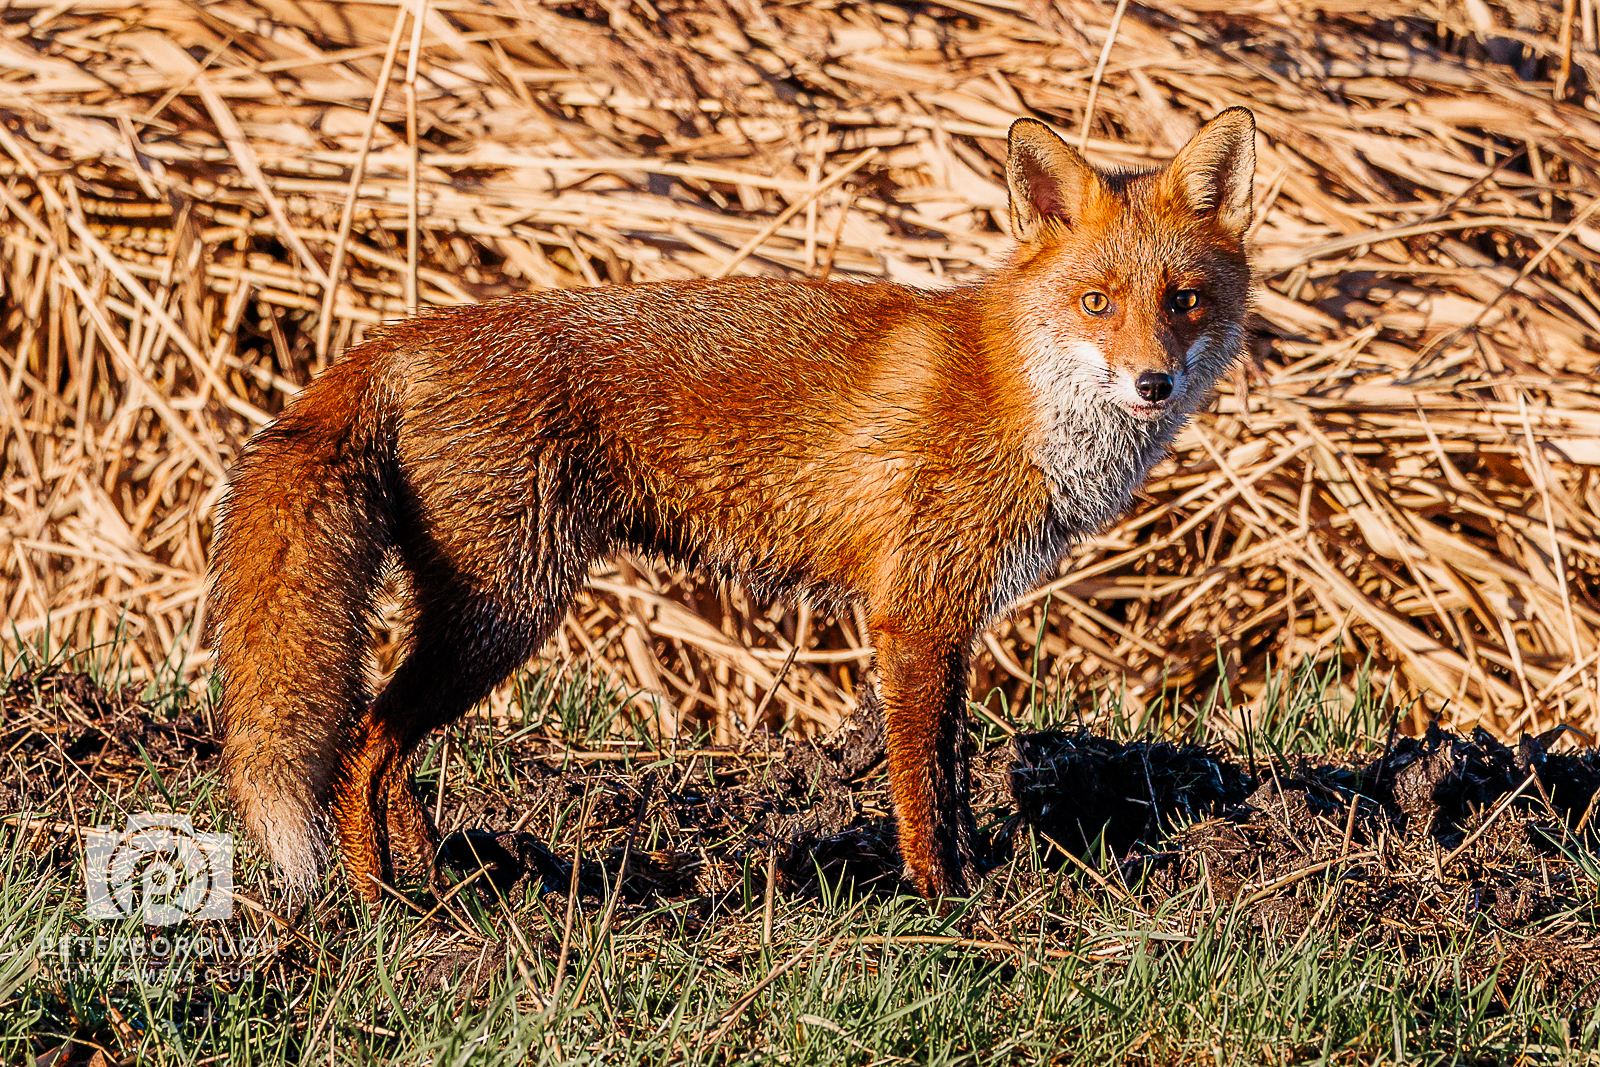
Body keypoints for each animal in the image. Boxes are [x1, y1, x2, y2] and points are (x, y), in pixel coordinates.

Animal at [210, 109, 1256, 902]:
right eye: (1095, 302)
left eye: (1184, 300)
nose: (1154, 383)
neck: (1016, 391)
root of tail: (405, 334)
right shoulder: (913, 616)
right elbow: (923, 786)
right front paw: (946, 902)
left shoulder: (951, 619)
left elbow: (953, 775)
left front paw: (972, 881)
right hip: (506, 607)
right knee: (364, 745)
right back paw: (382, 904)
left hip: (486, 612)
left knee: (384, 752)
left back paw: (439, 880)